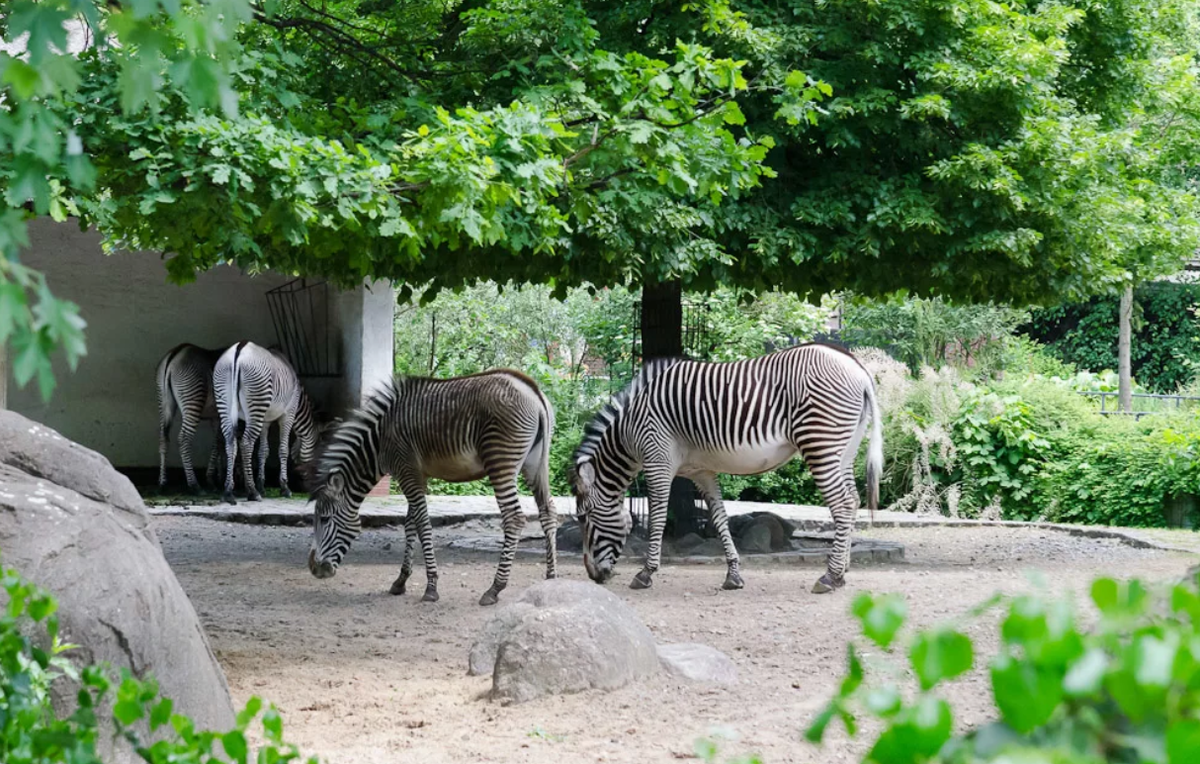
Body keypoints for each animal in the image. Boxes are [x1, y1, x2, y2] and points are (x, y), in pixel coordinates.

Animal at [156, 343, 225, 491]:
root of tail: (175, 353)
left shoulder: (215, 416)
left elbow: (219, 442)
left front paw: (218, 478)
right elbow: (221, 443)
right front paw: (214, 479)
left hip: (163, 402)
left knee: (163, 438)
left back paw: (162, 483)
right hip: (193, 399)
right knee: (183, 439)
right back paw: (194, 485)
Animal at [212, 343, 321, 503]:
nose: (307, 489)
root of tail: (239, 349)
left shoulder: (266, 420)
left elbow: (263, 451)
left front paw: (261, 485)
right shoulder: (288, 415)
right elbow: (283, 449)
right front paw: (284, 487)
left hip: (224, 401)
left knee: (231, 443)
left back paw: (228, 491)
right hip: (257, 401)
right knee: (246, 443)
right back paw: (252, 492)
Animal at [304, 371, 556, 606]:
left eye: (324, 519)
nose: (314, 568)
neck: (379, 442)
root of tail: (532, 391)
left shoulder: (407, 472)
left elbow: (422, 524)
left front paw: (431, 587)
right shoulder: (417, 475)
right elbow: (410, 524)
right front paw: (400, 581)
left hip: (501, 462)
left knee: (514, 518)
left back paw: (494, 588)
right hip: (535, 464)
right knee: (548, 512)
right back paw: (551, 579)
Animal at [566, 340, 888, 594]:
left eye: (584, 518)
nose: (593, 576)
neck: (629, 431)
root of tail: (856, 367)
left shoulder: (658, 460)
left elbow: (657, 518)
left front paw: (645, 573)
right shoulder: (701, 471)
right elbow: (719, 518)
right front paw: (733, 575)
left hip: (820, 443)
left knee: (843, 504)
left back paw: (829, 576)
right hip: (843, 449)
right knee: (853, 499)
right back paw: (842, 573)